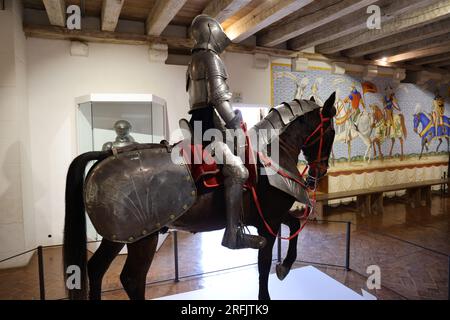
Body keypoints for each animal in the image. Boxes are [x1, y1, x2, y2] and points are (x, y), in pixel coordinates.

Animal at [63, 92, 338, 300]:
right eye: (331, 133)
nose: (321, 172)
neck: (272, 153)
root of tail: (105, 154)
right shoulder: (268, 223)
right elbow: (263, 265)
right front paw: (267, 293)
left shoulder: (271, 218)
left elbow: (294, 227)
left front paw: (285, 267)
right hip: (143, 236)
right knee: (132, 279)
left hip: (117, 237)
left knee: (95, 269)